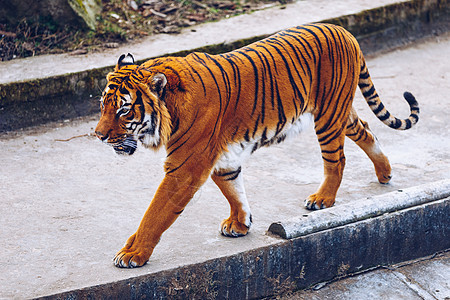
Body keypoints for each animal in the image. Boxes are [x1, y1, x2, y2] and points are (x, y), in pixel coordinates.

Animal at [94, 22, 418, 268]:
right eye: (103, 106)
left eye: (124, 110)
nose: (97, 135)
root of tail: (343, 29)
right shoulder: (220, 158)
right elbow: (233, 189)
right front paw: (240, 223)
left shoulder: (185, 168)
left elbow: (155, 213)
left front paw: (133, 254)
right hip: (339, 113)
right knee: (366, 130)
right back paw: (385, 173)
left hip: (328, 116)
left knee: (337, 160)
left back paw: (323, 198)